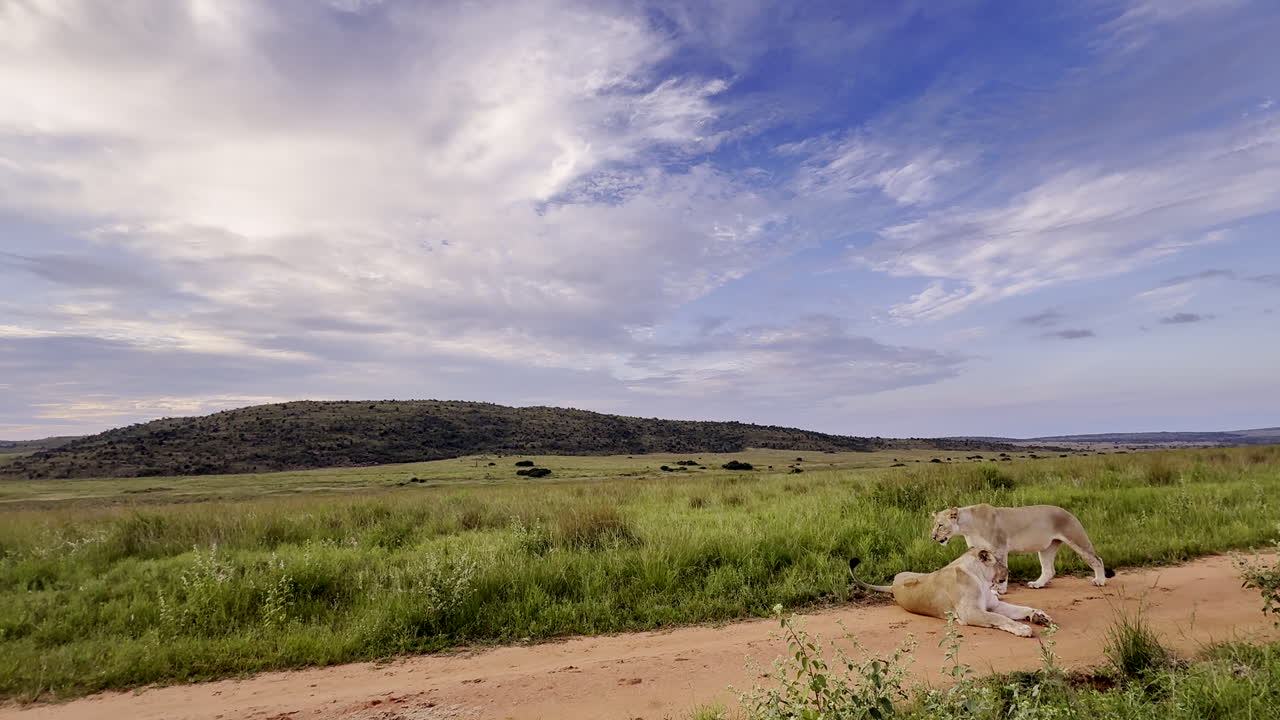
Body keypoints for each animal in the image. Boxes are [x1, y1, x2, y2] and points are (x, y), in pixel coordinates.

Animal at [848, 548, 1053, 637]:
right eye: (1000, 562)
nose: (1008, 571)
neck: (981, 579)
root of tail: (893, 585)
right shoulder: (970, 613)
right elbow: (1000, 618)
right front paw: (1023, 628)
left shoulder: (993, 605)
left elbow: (1020, 608)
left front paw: (1039, 616)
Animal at [930, 503, 1114, 593]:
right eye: (935, 525)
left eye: (940, 525)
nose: (932, 537)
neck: (968, 527)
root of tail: (1068, 512)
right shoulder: (977, 549)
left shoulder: (999, 548)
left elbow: (1002, 569)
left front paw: (1000, 589)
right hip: (1047, 548)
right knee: (1049, 570)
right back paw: (1037, 584)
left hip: (1077, 539)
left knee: (1097, 559)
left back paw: (1100, 581)